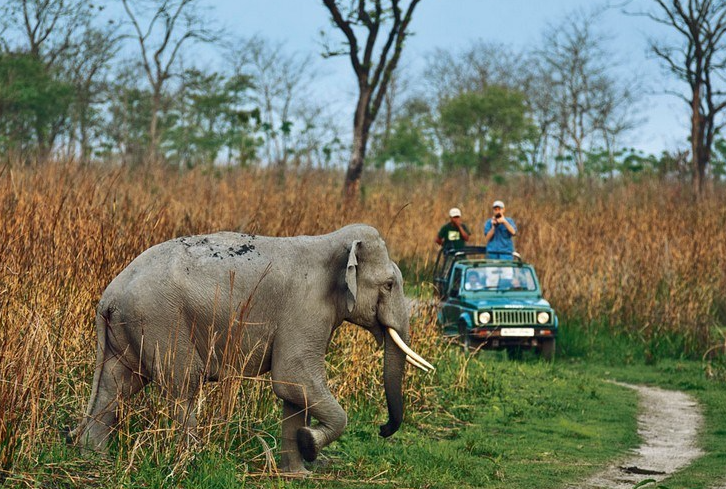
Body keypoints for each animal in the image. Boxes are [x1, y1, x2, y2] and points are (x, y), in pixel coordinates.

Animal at [72, 223, 436, 470]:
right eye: (388, 285)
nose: (383, 429)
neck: (332, 240)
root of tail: (108, 296)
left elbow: (293, 390)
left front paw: (298, 472)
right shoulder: (306, 307)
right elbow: (293, 376)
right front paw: (309, 444)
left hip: (128, 328)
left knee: (116, 385)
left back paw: (94, 458)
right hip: (161, 320)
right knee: (183, 385)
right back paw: (192, 461)